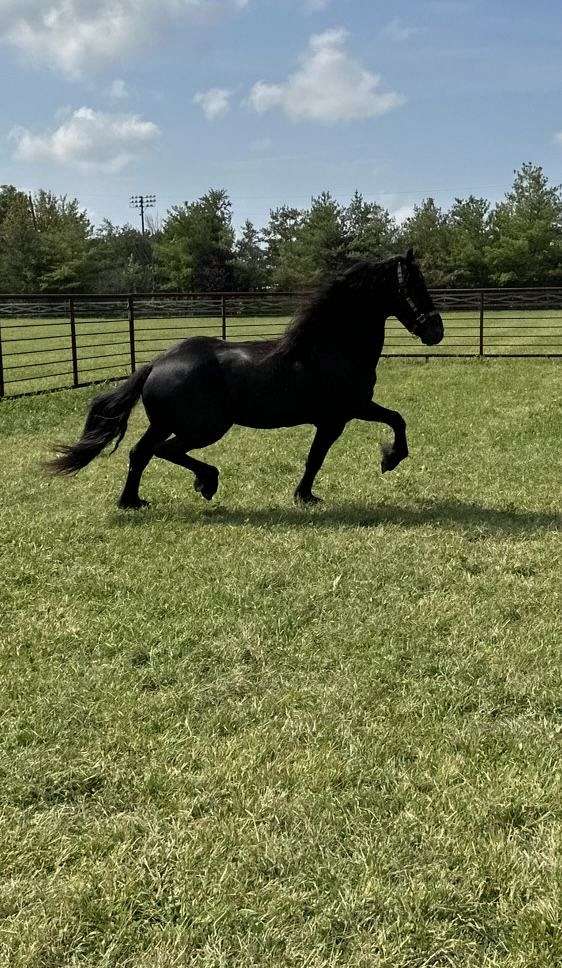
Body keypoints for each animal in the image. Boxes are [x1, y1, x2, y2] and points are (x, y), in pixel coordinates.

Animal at [48, 248, 442, 506]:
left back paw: (133, 501)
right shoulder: (344, 413)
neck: (332, 346)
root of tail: (156, 364)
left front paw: (306, 494)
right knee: (162, 451)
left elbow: (328, 451)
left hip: (167, 424)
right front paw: (387, 460)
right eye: (413, 285)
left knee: (140, 452)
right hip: (204, 428)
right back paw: (206, 482)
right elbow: (382, 427)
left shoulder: (339, 416)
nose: (435, 331)